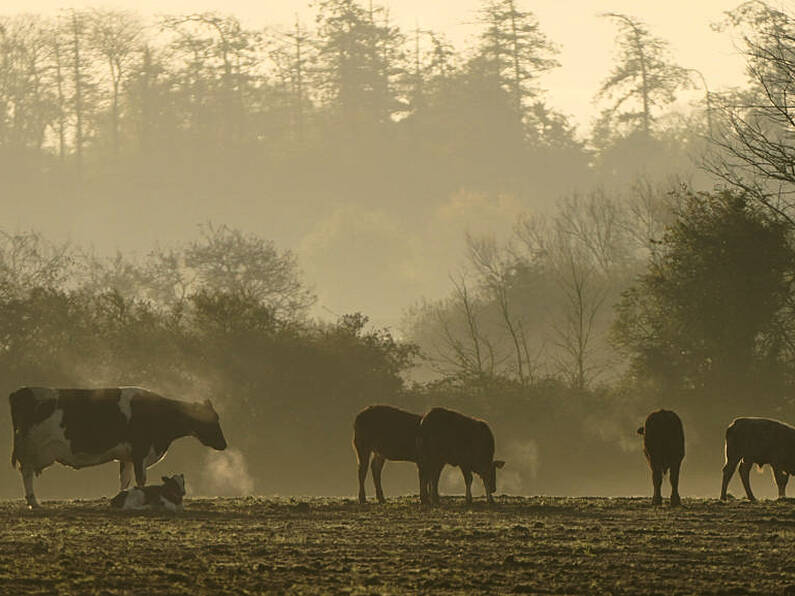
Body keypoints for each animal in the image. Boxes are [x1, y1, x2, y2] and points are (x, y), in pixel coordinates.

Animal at [8, 386, 227, 508]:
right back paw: (33, 502)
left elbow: (125, 480)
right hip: (30, 450)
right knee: (26, 474)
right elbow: (141, 479)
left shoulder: (127, 456)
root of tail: (21, 392)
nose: (224, 444)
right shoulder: (140, 452)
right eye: (212, 419)